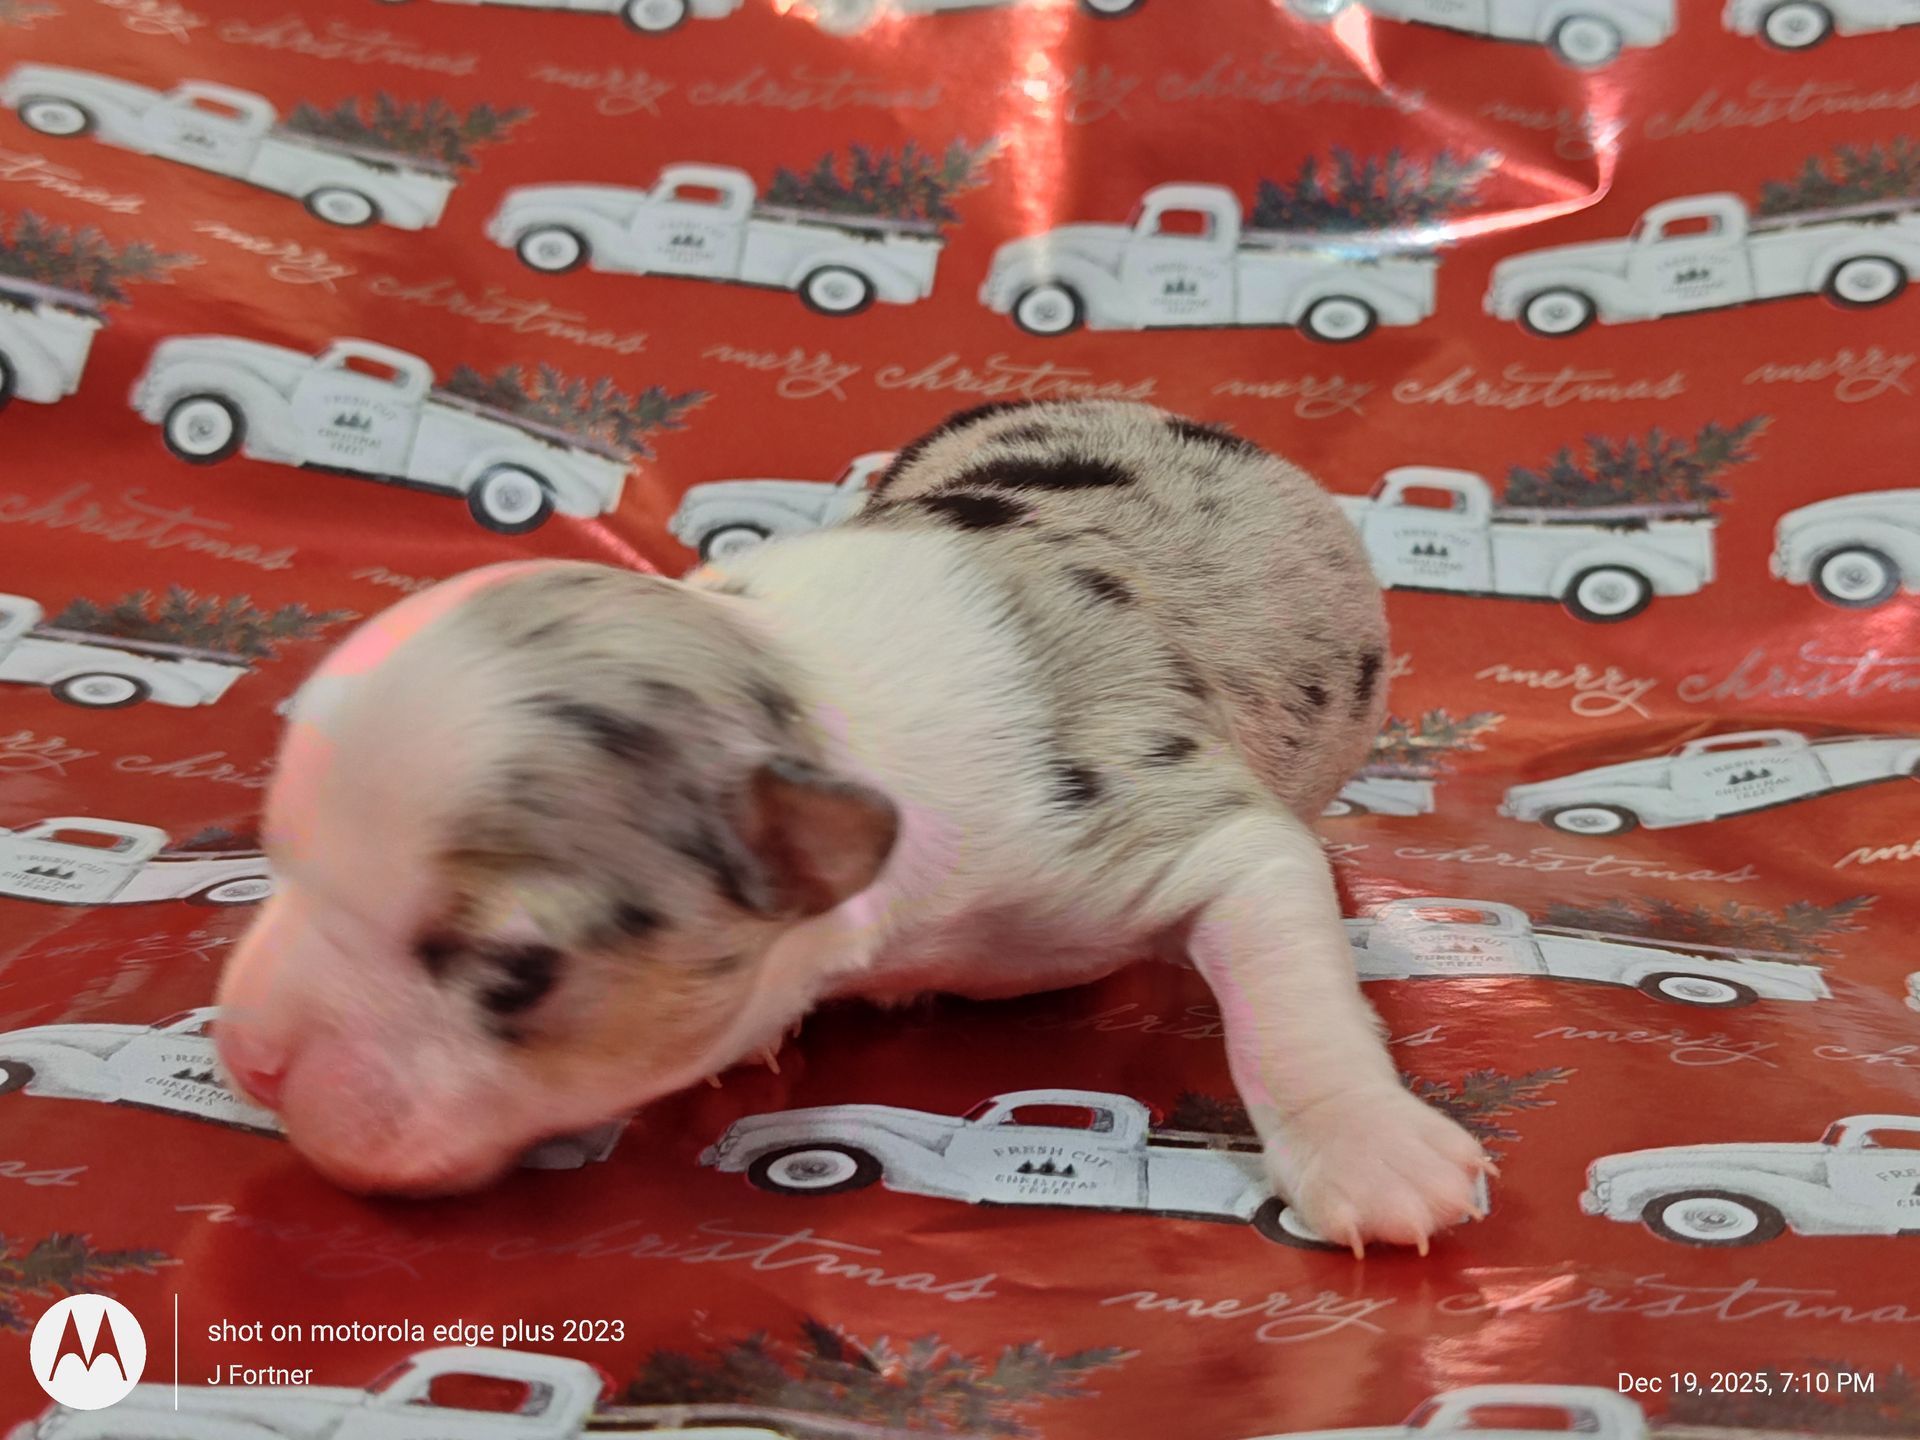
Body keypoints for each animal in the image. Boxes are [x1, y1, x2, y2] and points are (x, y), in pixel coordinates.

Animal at [215, 399, 1491, 1253]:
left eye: (514, 974)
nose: (248, 1058)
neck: (808, 694)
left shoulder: (1185, 825)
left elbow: (1284, 981)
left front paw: (1372, 1148)